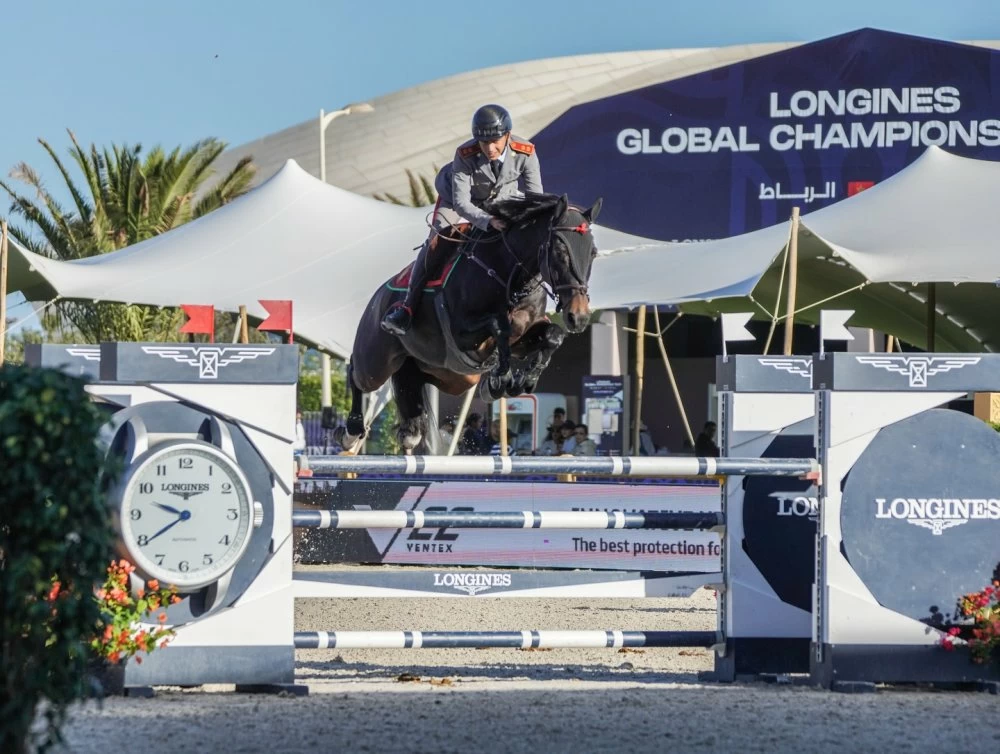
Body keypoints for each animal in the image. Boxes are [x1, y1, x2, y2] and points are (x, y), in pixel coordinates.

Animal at [336, 192, 600, 452]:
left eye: (593, 253)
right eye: (560, 251)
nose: (579, 316)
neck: (510, 277)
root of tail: (378, 296)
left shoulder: (525, 335)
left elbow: (552, 335)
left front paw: (526, 378)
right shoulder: (461, 332)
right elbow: (500, 324)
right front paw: (500, 378)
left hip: (452, 377)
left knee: (412, 385)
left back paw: (410, 430)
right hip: (376, 361)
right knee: (357, 372)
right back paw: (351, 431)